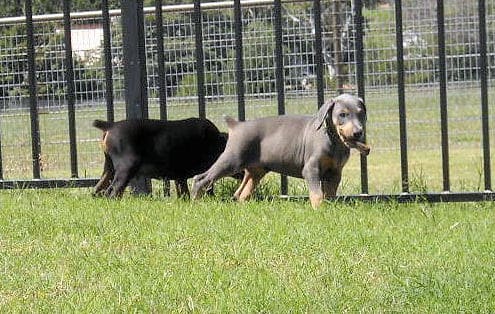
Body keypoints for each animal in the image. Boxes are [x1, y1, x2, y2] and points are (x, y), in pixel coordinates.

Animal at [93, 116, 232, 197]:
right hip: (126, 168)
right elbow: (208, 188)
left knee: (97, 190)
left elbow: (183, 192)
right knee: (113, 191)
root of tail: (110, 125)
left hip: (109, 168)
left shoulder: (180, 176)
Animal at [192, 92, 370, 209]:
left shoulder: (335, 172)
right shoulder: (311, 169)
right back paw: (195, 201)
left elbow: (330, 194)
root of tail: (236, 125)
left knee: (242, 193)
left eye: (361, 114)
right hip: (232, 160)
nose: (358, 132)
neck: (334, 141)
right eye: (342, 114)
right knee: (201, 178)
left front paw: (330, 208)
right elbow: (317, 194)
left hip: (256, 170)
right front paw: (319, 209)